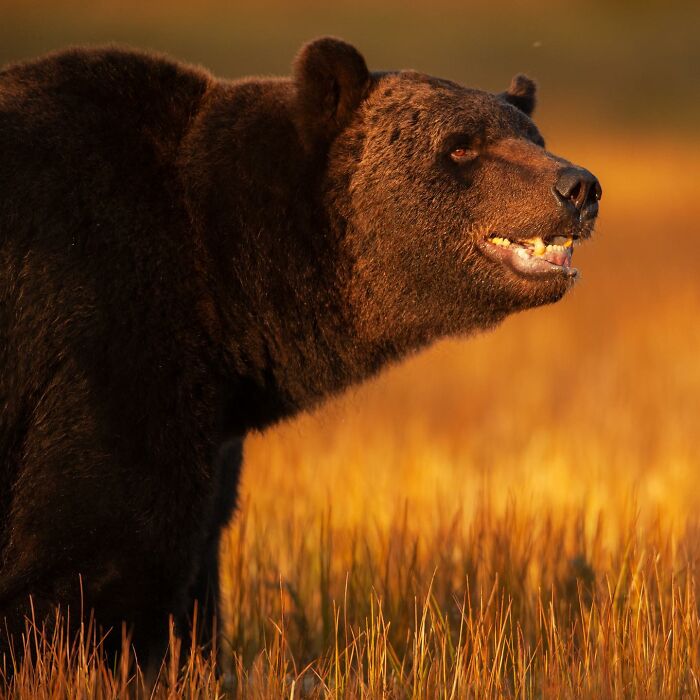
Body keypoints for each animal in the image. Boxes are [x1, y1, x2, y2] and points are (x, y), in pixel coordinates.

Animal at [0, 37, 601, 673]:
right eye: (462, 145)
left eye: (534, 136)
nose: (578, 187)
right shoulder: (104, 335)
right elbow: (95, 552)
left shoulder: (209, 419)